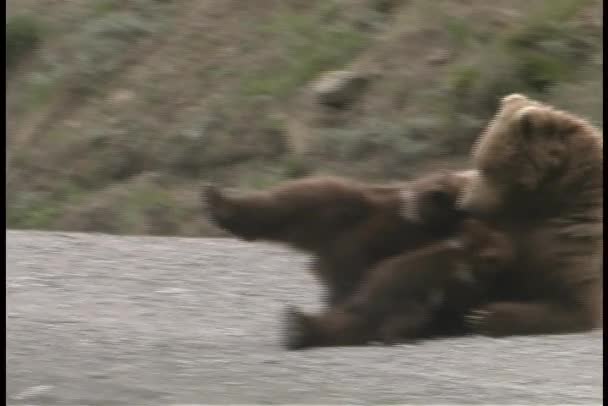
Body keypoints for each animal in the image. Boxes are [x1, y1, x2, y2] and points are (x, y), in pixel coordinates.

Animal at [284, 219, 512, 348]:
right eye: (498, 247)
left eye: (500, 237)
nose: (512, 250)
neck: (466, 257)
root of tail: (367, 304)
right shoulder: (455, 284)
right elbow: (462, 301)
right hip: (410, 304)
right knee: (396, 324)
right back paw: (406, 339)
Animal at [456, 94, 604, 336]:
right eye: (476, 159)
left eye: (488, 167)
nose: (465, 206)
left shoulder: (573, 242)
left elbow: (577, 304)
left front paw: (484, 316)